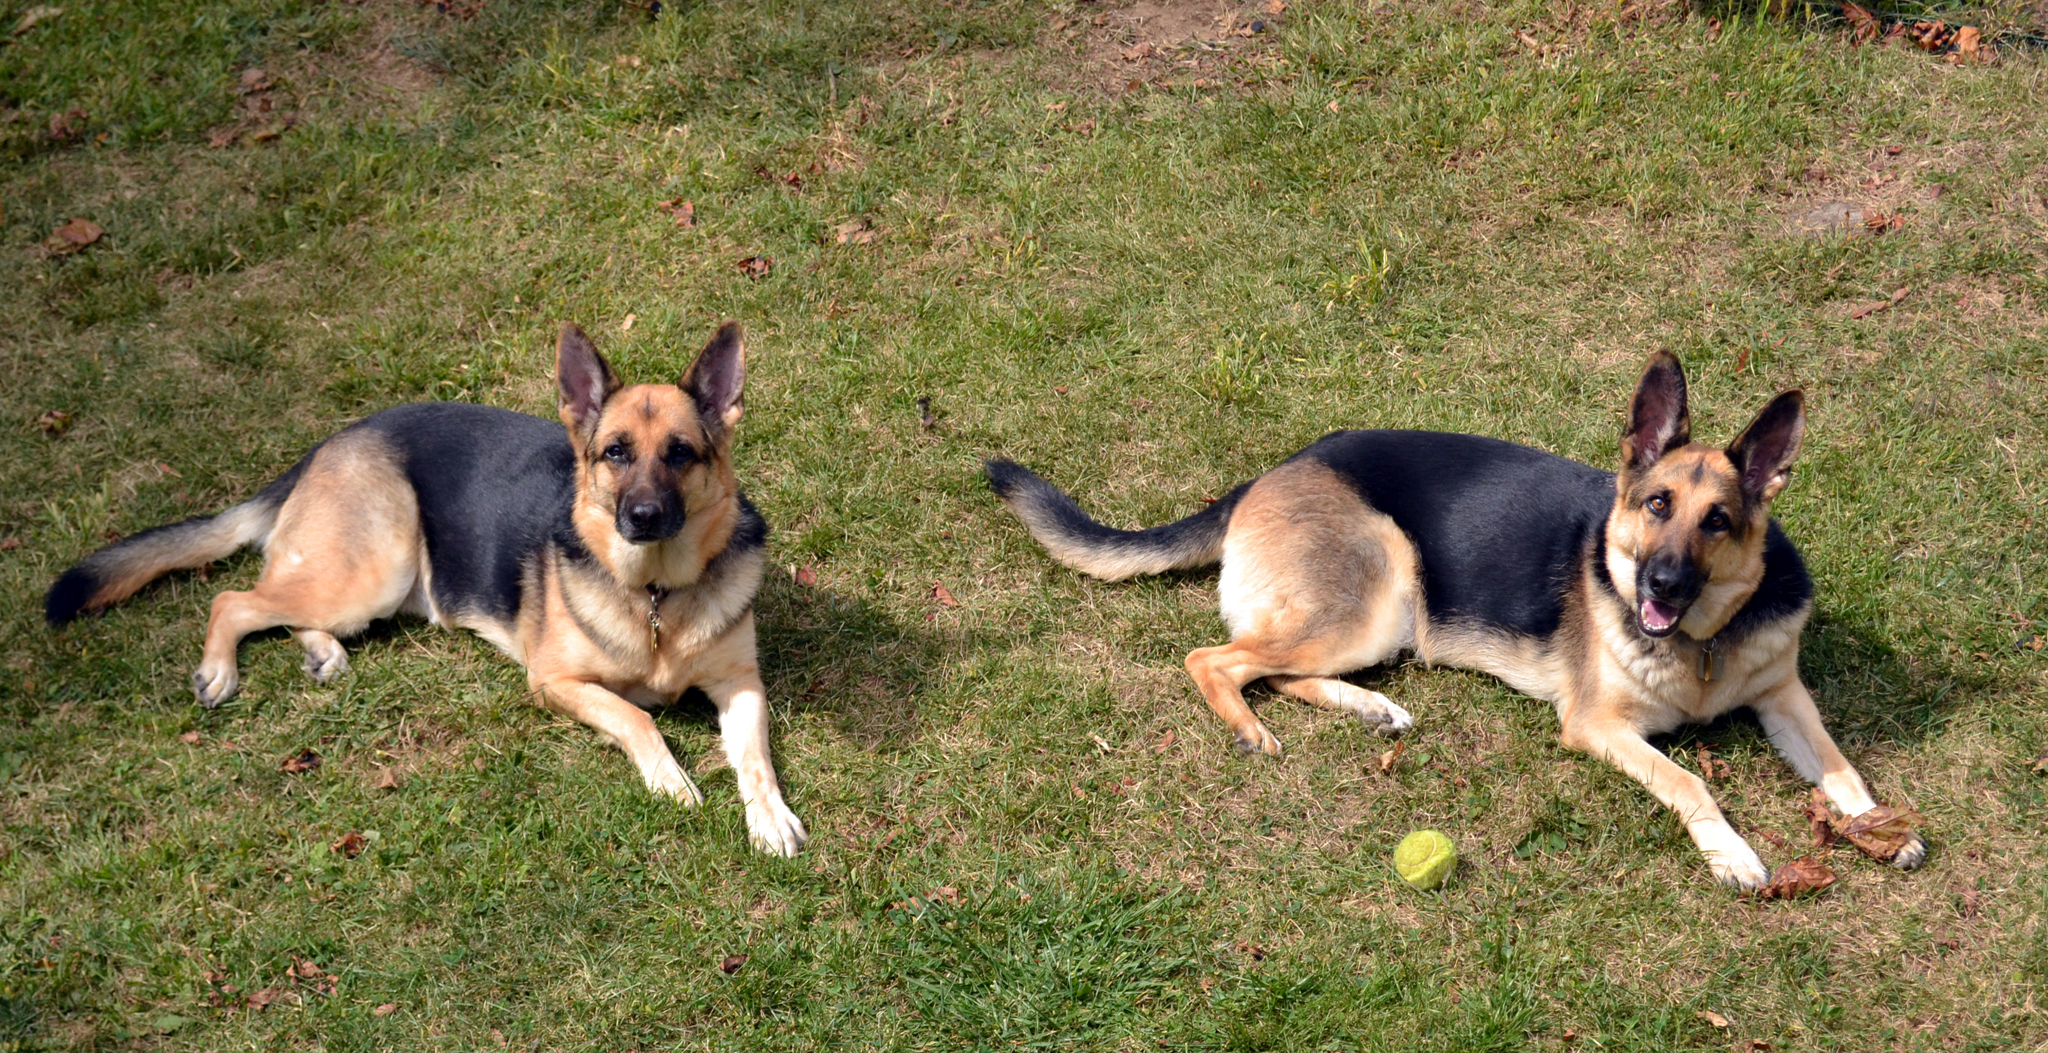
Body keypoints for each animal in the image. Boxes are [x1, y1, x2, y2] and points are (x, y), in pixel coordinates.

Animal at [48, 323, 806, 856]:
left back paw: (321, 652)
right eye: (615, 453)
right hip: (372, 572)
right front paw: (671, 777)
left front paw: (770, 816)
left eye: (681, 453)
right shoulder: (554, 681)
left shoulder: (741, 683)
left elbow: (756, 757)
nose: (643, 517)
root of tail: (334, 440)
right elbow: (637, 717)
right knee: (235, 599)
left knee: (281, 603)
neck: (653, 594)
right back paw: (218, 670)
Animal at [987, 352, 1916, 885]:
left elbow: (1838, 763)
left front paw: (1877, 822)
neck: (1705, 642)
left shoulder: (1783, 695)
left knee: (1273, 665)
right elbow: (1691, 782)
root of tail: (1266, 475)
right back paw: (1252, 728)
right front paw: (1735, 854)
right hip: (1381, 592)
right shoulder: (1597, 725)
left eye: (1717, 521)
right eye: (1657, 504)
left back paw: (1370, 708)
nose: (1659, 582)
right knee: (1216, 659)